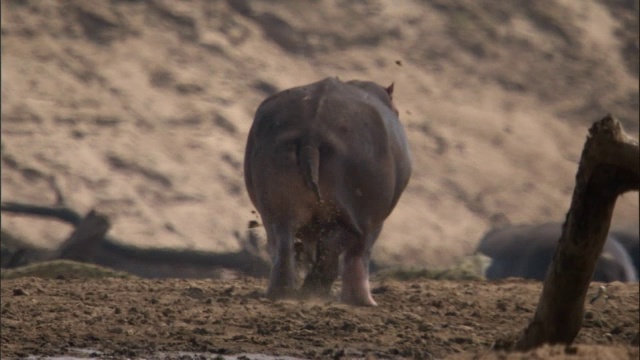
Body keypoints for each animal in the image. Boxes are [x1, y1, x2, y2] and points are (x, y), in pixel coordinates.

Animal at [242, 77, 412, 306]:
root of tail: (312, 133)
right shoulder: (373, 221)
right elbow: (355, 255)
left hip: (277, 208)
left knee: (283, 244)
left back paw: (283, 294)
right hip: (359, 216)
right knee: (346, 249)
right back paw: (348, 298)